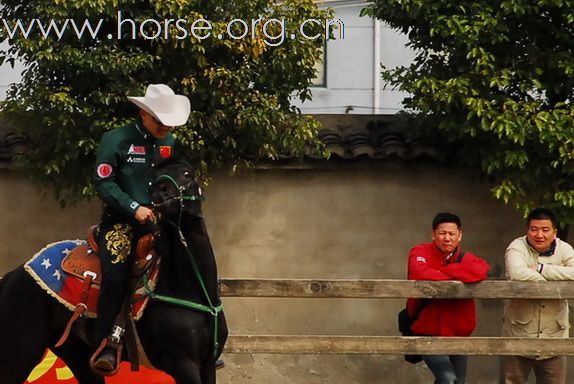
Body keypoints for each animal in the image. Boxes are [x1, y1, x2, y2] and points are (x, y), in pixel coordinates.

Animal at [0, 160, 228, 382]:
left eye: (188, 173)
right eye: (154, 178)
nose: (160, 191)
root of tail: (15, 273)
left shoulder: (207, 366)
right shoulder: (183, 365)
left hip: (77, 354)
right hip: (20, 353)